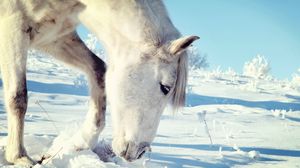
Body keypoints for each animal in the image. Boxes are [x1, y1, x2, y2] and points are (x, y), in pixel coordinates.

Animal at [1, 0, 199, 165]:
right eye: (165, 87)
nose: (140, 152)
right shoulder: (13, 25)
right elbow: (18, 97)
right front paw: (19, 157)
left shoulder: (54, 37)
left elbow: (98, 70)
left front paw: (79, 143)